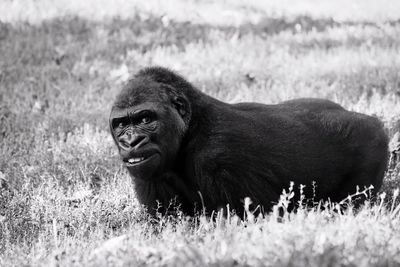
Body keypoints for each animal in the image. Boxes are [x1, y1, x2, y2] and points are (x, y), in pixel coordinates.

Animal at [108, 67, 388, 218]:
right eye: (121, 124)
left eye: (146, 118)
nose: (131, 141)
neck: (191, 129)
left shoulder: (219, 158)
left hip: (373, 140)